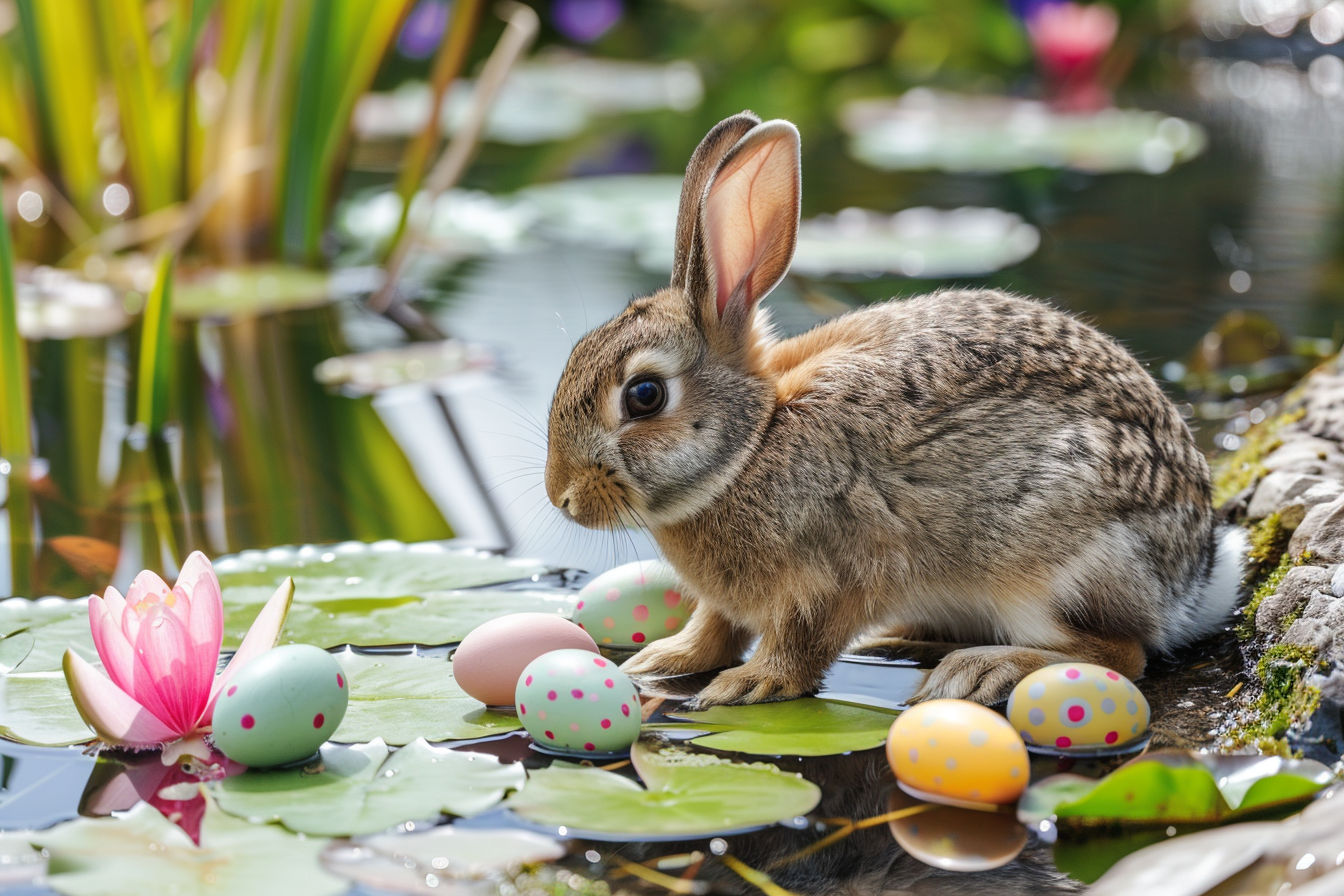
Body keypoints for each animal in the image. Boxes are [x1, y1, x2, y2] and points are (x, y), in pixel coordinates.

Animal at [544, 110, 1246, 709]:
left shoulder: (831, 581)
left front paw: (747, 685)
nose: (563, 497)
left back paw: (983, 669)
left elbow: (798, 648)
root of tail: (1195, 581)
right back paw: (901, 643)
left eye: (644, 395)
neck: (752, 442)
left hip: (1055, 566)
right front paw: (661, 661)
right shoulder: (733, 600)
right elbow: (712, 628)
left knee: (1122, 655)